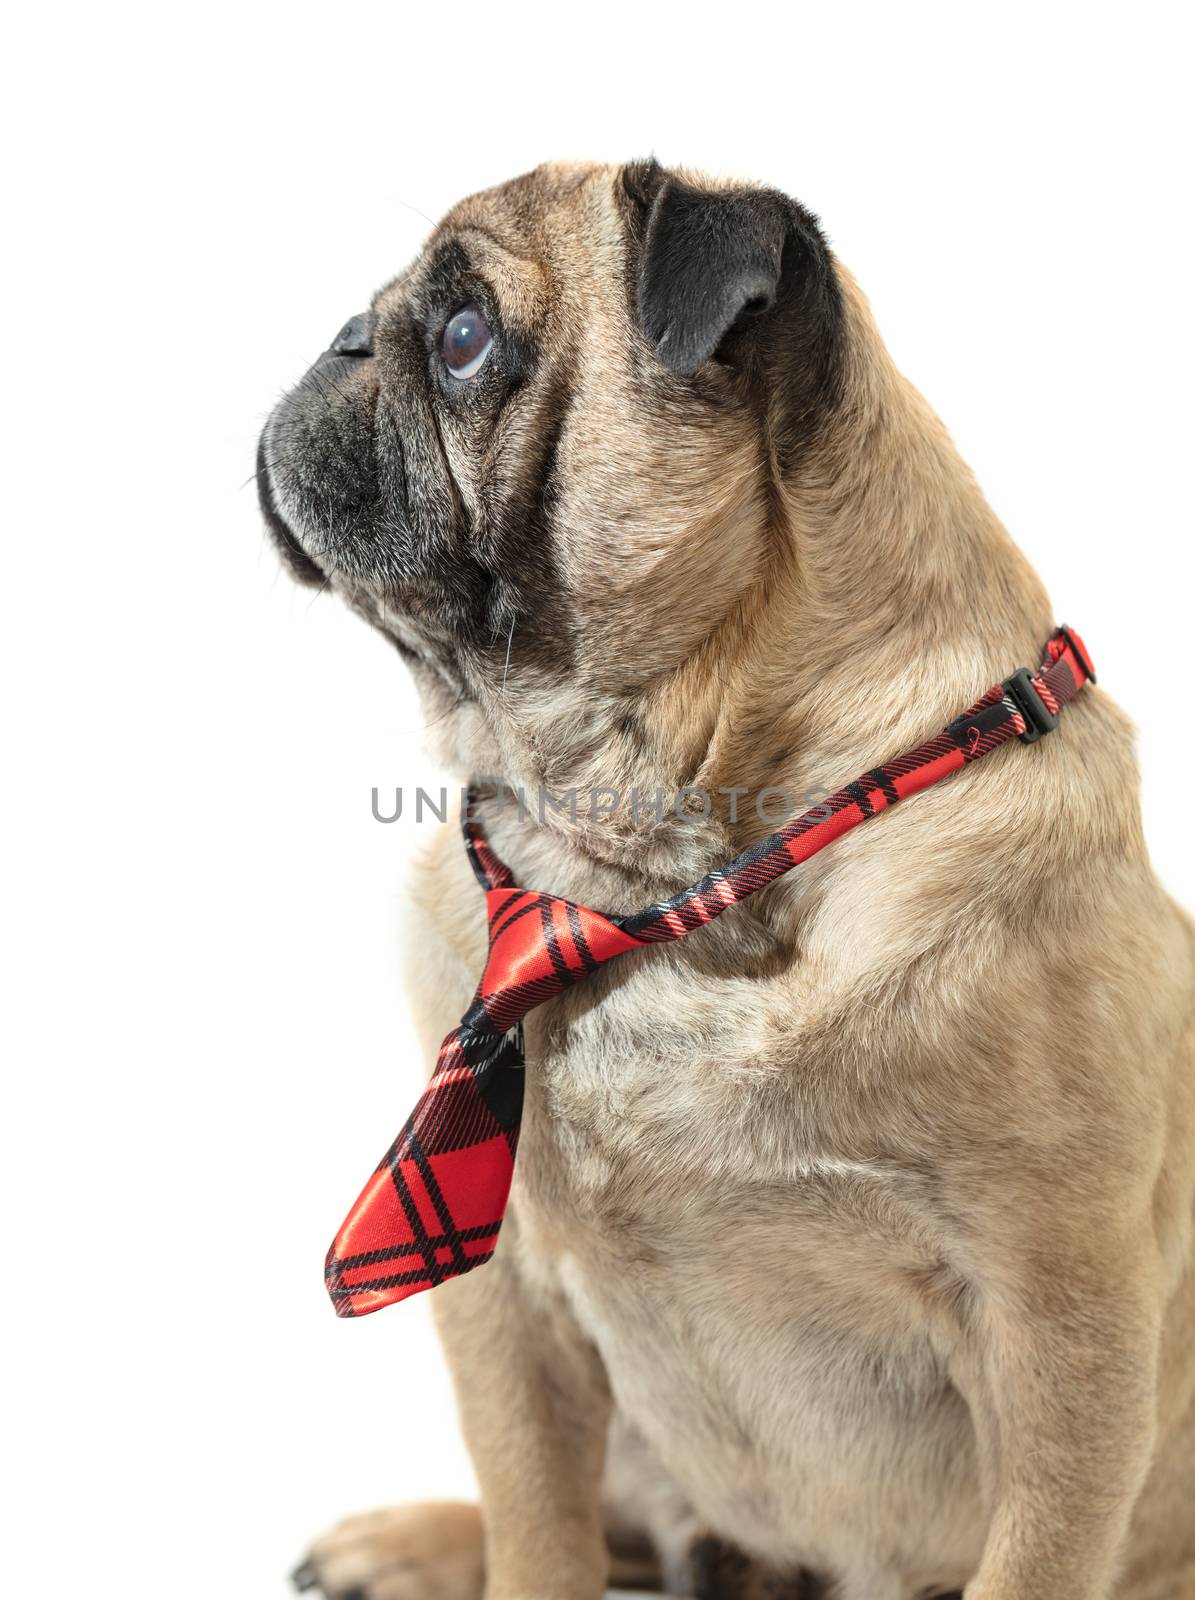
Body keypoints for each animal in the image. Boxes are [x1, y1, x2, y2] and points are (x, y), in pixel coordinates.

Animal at [257, 162, 1190, 1600]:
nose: (346, 337)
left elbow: (1034, 1554)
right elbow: (537, 1521)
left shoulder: (1063, 1329)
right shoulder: (504, 1301)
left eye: (464, 336)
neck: (662, 870)